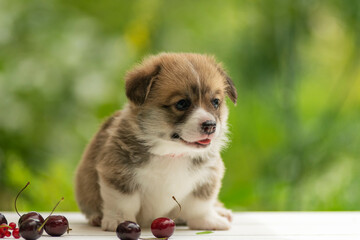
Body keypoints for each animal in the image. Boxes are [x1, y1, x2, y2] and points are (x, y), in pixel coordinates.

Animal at [74, 52, 238, 231]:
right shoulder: (118, 174)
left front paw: (207, 221)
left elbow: (199, 204)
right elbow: (123, 202)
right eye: (182, 103)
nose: (210, 126)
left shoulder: (207, 176)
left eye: (215, 102)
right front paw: (119, 221)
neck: (171, 152)